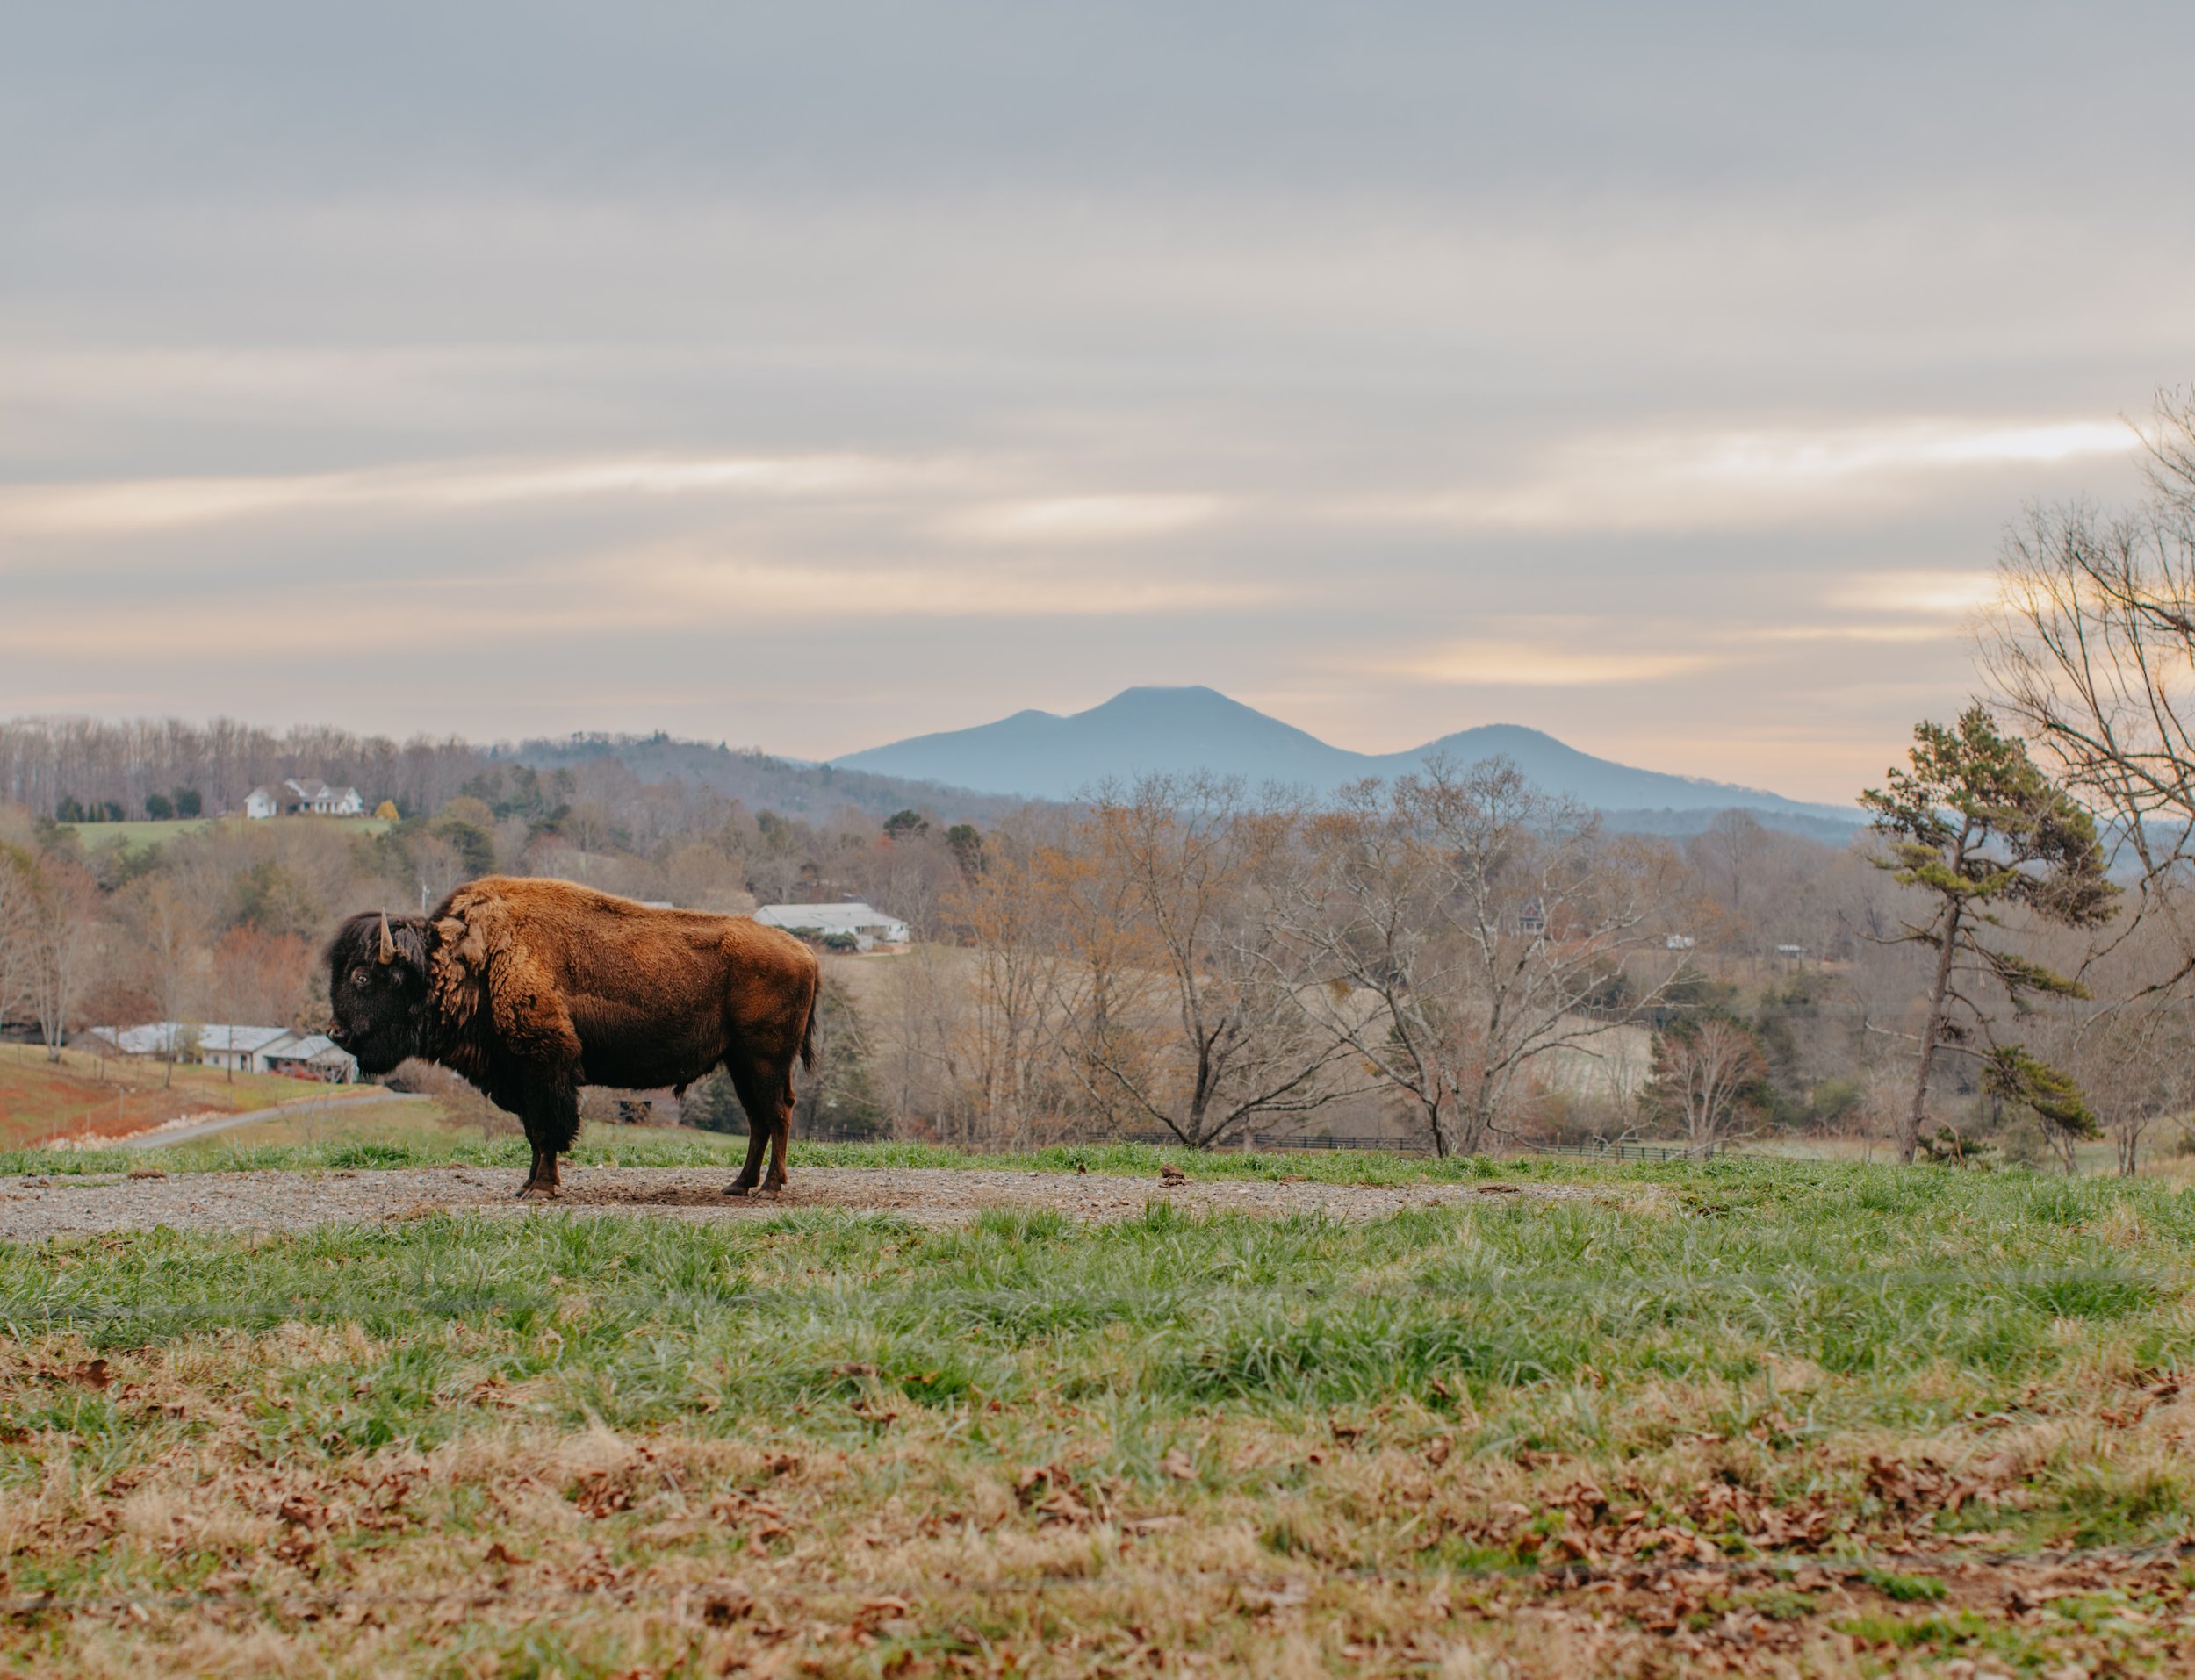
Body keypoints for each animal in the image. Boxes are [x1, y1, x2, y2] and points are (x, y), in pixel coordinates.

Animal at [326, 876, 820, 1199]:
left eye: (362, 977)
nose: (335, 1032)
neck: (470, 960)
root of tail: (804, 952)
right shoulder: (519, 1074)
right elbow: (532, 1132)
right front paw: (526, 1186)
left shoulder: (545, 1065)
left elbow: (548, 1130)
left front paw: (541, 1189)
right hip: (741, 1064)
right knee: (759, 1120)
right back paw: (737, 1185)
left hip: (764, 1060)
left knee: (778, 1114)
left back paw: (769, 1189)